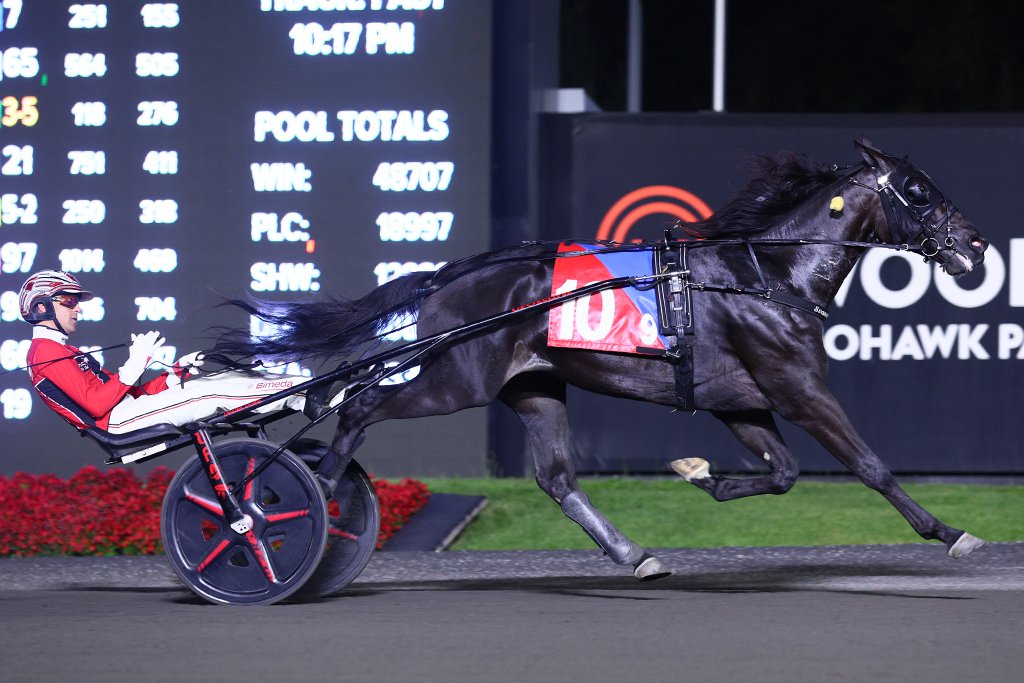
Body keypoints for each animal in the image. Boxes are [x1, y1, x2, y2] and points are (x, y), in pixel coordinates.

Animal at [214, 141, 991, 581]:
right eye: (917, 191)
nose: (978, 243)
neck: (765, 274)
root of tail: (452, 276)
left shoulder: (739, 398)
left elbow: (783, 473)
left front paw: (702, 476)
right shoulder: (796, 386)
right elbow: (869, 465)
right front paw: (952, 533)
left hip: (532, 386)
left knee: (558, 478)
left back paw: (634, 554)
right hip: (453, 379)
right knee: (359, 405)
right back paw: (298, 492)